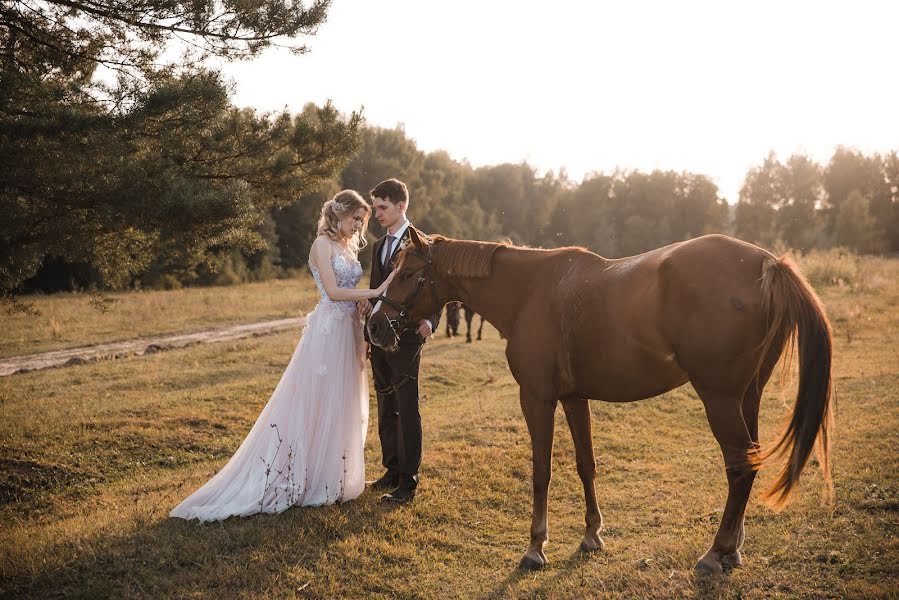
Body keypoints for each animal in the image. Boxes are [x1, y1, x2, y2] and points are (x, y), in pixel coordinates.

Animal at [370, 229, 832, 572]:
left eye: (408, 273)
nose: (374, 325)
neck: (530, 291)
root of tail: (768, 265)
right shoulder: (575, 399)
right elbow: (585, 465)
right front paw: (592, 534)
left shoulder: (536, 398)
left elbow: (541, 472)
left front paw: (535, 547)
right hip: (747, 396)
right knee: (750, 462)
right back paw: (733, 548)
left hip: (720, 398)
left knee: (739, 466)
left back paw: (715, 552)